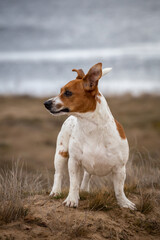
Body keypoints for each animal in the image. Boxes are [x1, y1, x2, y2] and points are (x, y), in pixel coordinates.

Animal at [44, 62, 136, 209]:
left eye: (68, 92)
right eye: (60, 91)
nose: (46, 103)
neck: (91, 127)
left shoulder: (120, 168)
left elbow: (119, 189)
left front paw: (124, 203)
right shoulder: (74, 162)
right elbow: (73, 184)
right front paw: (72, 199)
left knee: (87, 175)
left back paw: (85, 189)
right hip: (61, 154)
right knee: (58, 174)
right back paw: (56, 191)